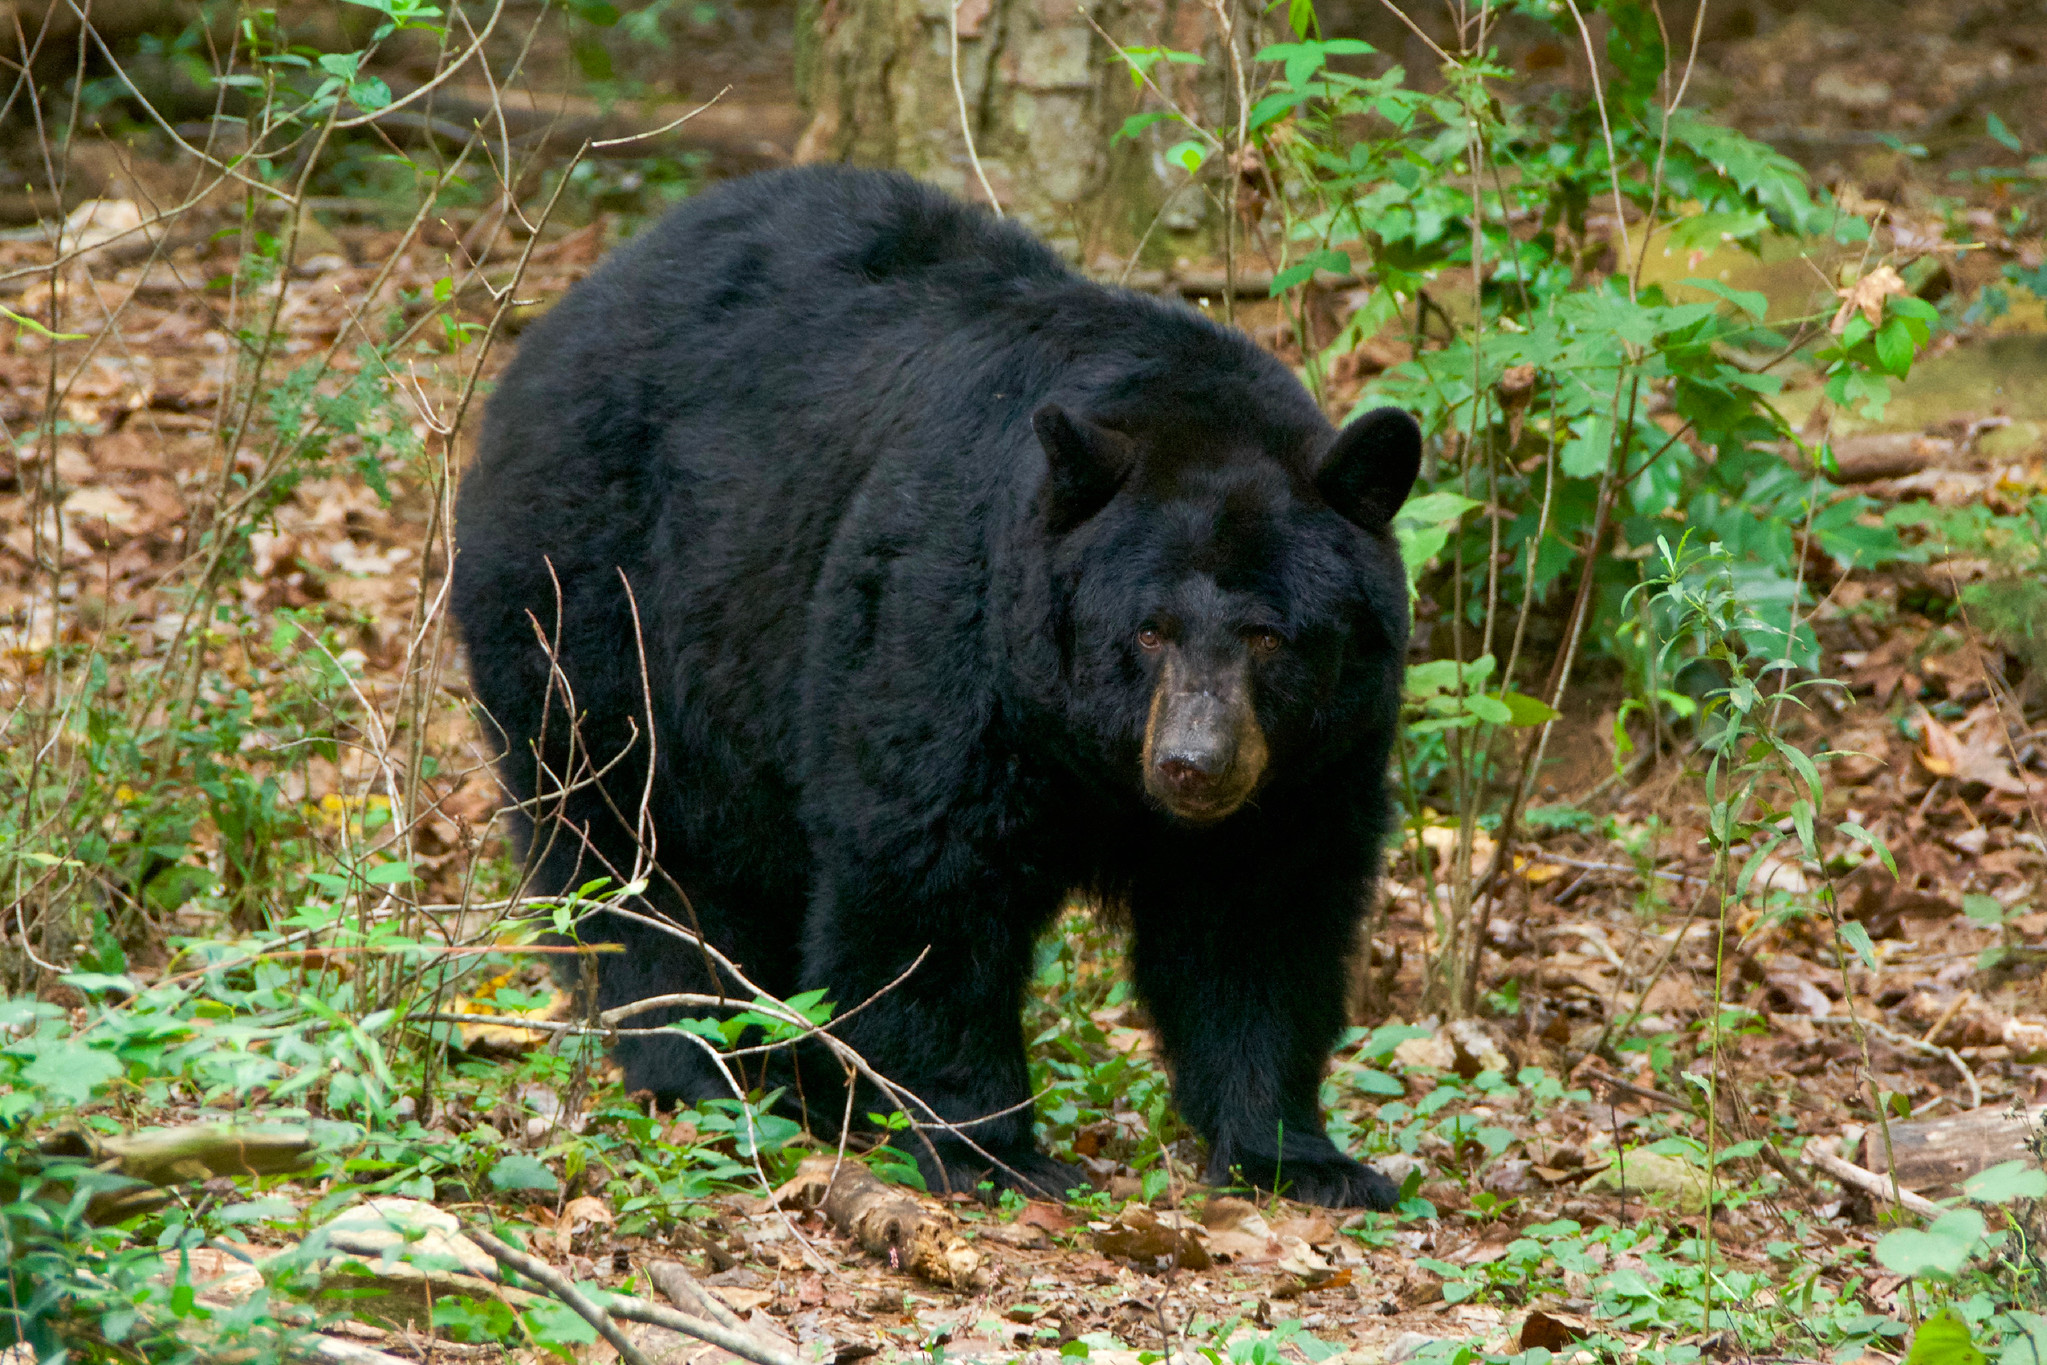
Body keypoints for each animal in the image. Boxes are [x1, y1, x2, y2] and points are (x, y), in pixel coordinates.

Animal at [458, 167, 1424, 1203]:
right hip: (606, 605)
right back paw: (714, 1063)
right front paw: (981, 1142)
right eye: (1148, 629)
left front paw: (1295, 1153)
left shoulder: (1309, 762)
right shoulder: (955, 627)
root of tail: (564, 316)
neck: (1086, 751)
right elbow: (927, 873)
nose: (1192, 765)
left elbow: (1260, 916)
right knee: (640, 845)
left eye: (1269, 635)